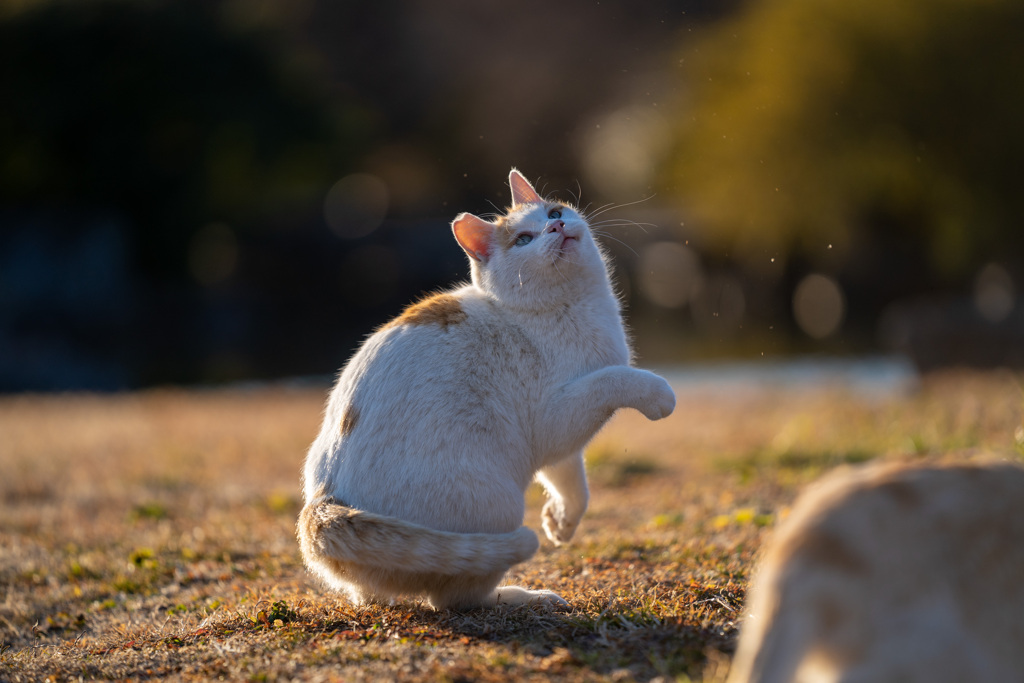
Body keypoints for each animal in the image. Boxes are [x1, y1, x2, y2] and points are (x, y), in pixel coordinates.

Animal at [299, 167, 675, 610]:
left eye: (554, 212)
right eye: (524, 240)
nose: (556, 226)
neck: (577, 306)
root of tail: (323, 504)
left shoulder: (562, 448)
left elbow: (573, 486)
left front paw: (561, 523)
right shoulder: (558, 416)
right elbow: (616, 378)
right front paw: (658, 395)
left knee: (378, 594)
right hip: (501, 507)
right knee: (457, 596)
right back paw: (525, 596)